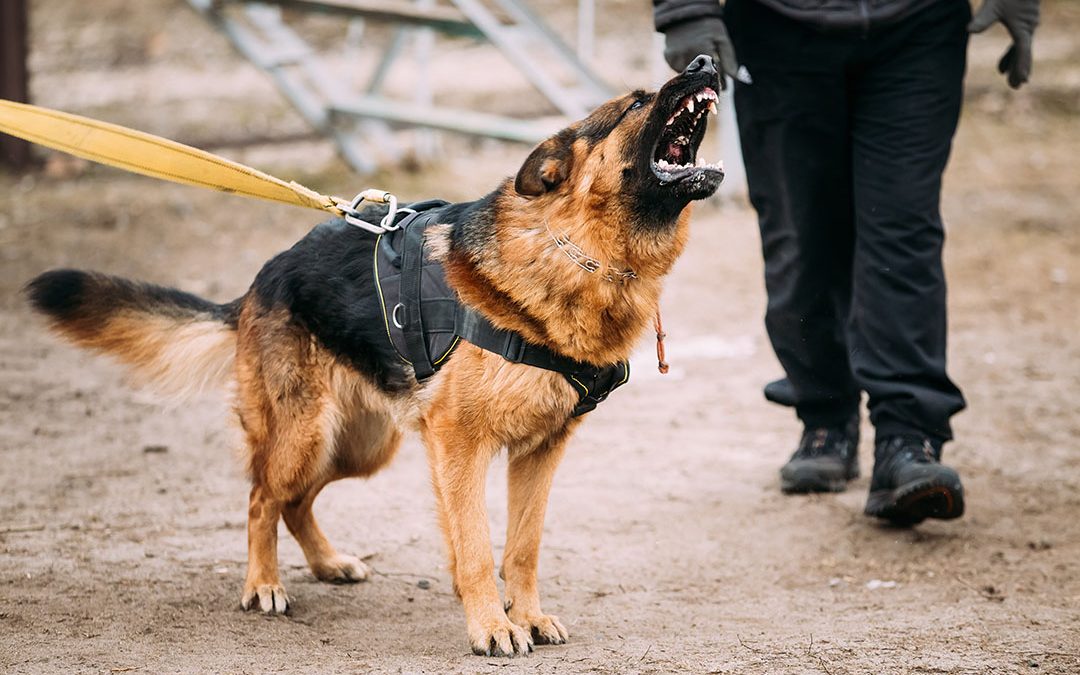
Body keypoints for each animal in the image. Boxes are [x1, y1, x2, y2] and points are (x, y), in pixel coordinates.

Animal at [25, 55, 721, 656]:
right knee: (261, 497)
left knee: (295, 501)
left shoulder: (541, 450)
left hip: (360, 446)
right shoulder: (459, 444)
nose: (707, 62)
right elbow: (475, 546)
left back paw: (327, 563)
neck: (578, 251)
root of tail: (260, 281)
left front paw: (527, 615)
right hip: (306, 433)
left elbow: (522, 548)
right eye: (636, 101)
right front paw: (492, 628)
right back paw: (263, 584)